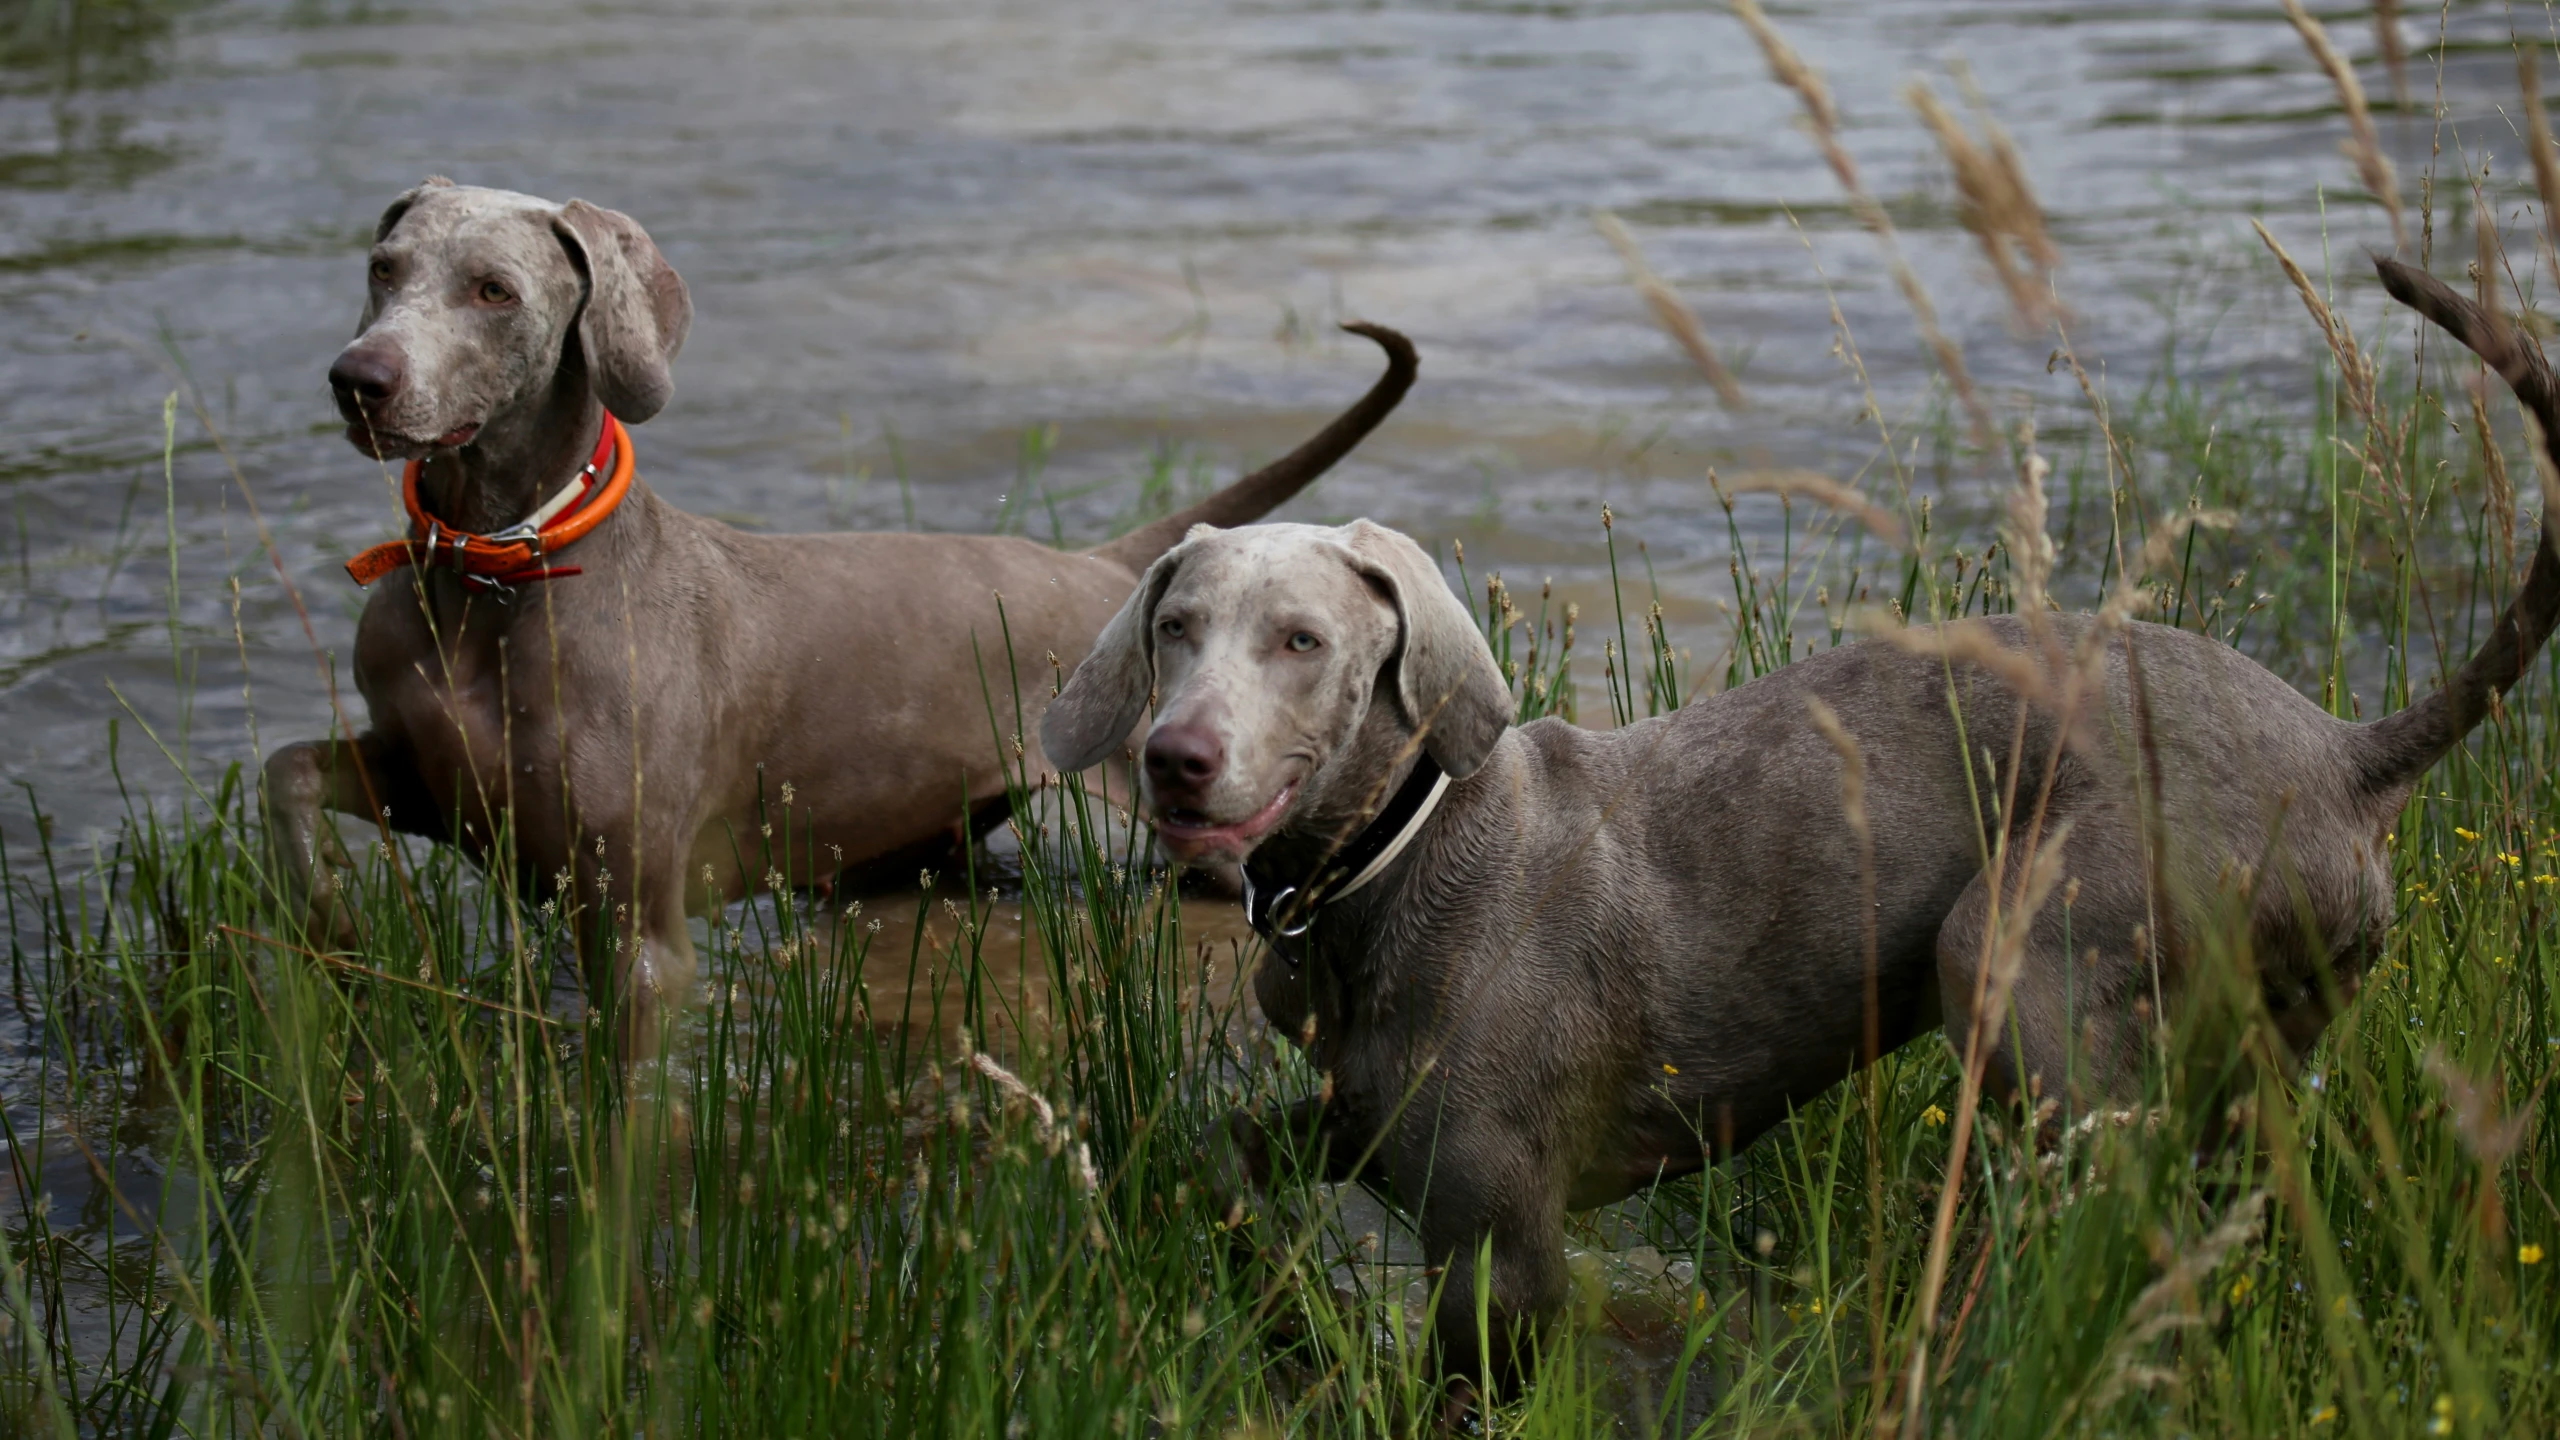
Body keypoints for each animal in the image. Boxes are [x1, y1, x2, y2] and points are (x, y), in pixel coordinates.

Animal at [1039, 257, 2560, 1383]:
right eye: (1174, 627)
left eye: (1300, 640)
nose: (1176, 761)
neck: (1380, 872)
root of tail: (2347, 750)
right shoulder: (1358, 1126)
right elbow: (1210, 1160)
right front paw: (1276, 1315)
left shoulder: (1503, 1247)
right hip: (2241, 1048)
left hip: (2024, 957)